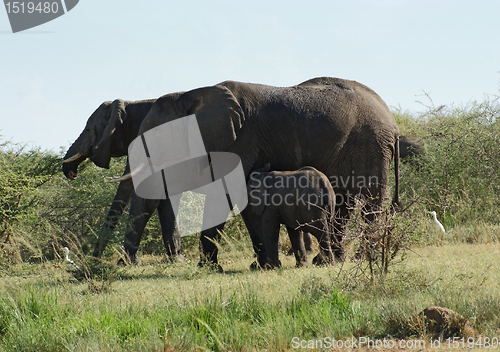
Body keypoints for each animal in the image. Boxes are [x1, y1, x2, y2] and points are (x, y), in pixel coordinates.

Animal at [125, 77, 402, 270]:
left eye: (154, 135)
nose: (127, 263)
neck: (192, 94)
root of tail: (393, 122)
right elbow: (245, 202)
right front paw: (258, 264)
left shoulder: (240, 141)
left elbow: (224, 195)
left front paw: (208, 267)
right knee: (344, 202)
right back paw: (333, 259)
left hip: (371, 144)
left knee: (370, 203)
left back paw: (361, 257)